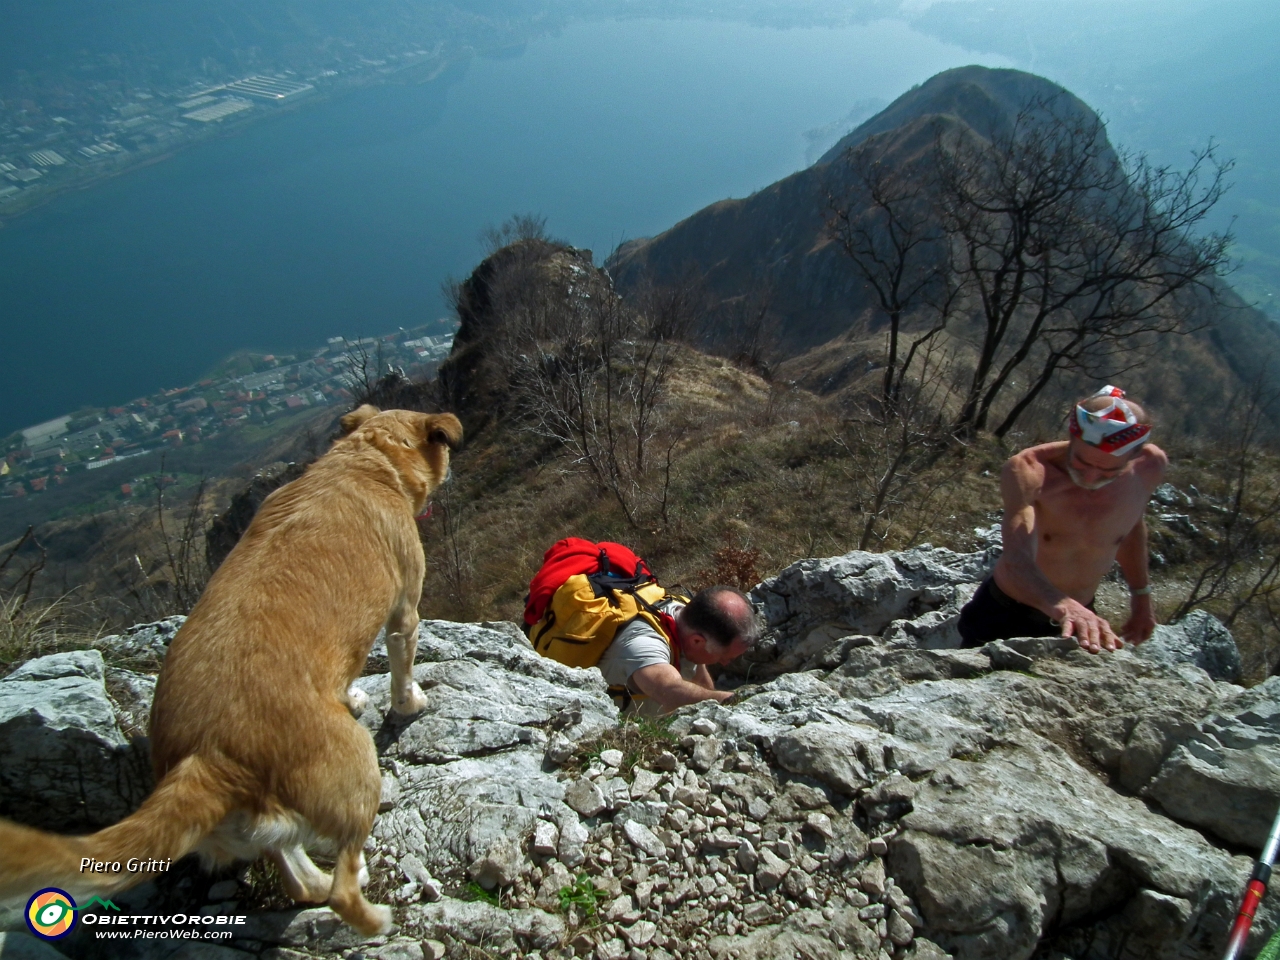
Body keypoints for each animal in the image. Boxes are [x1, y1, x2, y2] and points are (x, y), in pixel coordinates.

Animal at [0, 407, 460, 942]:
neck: (366, 460)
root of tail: (207, 758)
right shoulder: (404, 609)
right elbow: (403, 666)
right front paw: (409, 705)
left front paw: (352, 696)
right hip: (355, 772)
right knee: (342, 887)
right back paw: (374, 915)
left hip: (262, 821)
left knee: (297, 877)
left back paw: (320, 879)